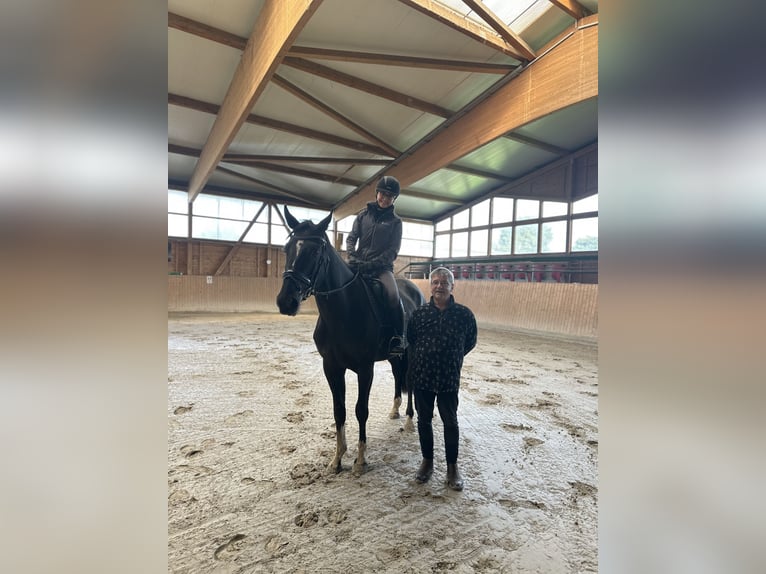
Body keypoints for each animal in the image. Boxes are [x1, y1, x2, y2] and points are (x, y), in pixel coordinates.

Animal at [276, 207, 426, 474]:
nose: (286, 302)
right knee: (398, 376)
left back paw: (409, 420)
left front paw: (360, 460)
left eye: (315, 251)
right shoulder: (332, 367)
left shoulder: (365, 369)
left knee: (409, 381)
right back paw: (395, 410)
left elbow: (360, 410)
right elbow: (340, 411)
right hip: (393, 356)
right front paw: (337, 459)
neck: (344, 310)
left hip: (411, 351)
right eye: (287, 248)